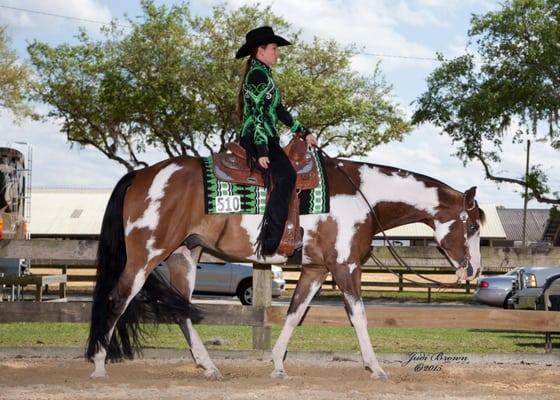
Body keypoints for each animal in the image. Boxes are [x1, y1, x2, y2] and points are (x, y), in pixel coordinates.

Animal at [85, 152, 484, 380]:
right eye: (473, 227)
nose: (474, 272)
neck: (361, 196)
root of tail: (141, 176)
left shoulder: (316, 269)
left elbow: (295, 313)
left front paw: (277, 364)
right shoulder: (345, 267)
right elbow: (359, 316)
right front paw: (376, 367)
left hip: (184, 255)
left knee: (181, 310)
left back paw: (208, 367)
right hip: (145, 256)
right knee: (117, 300)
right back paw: (100, 364)